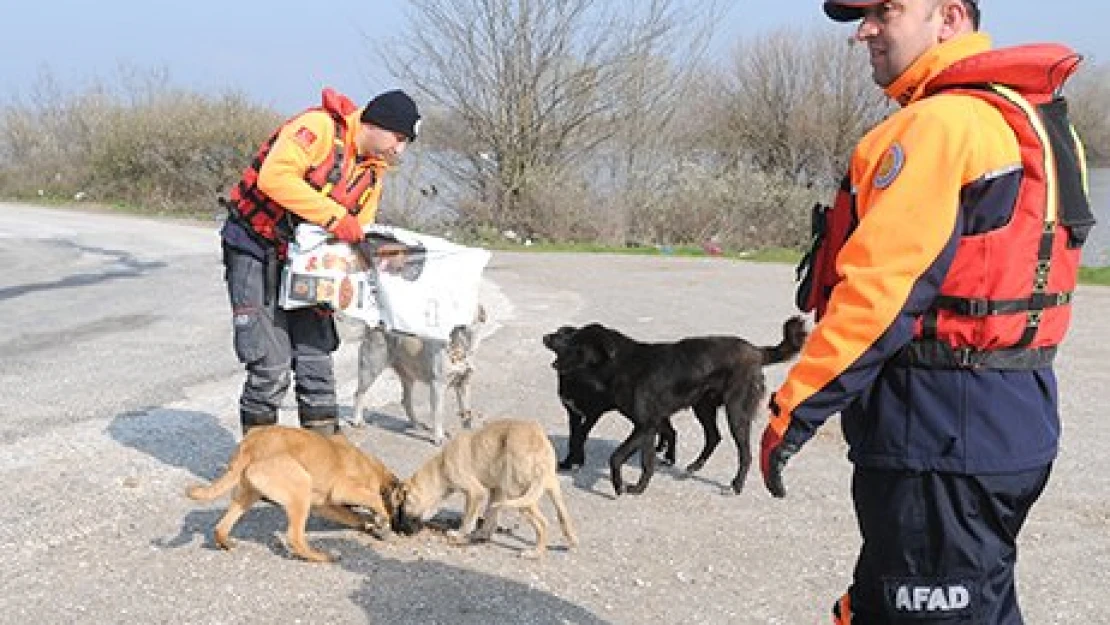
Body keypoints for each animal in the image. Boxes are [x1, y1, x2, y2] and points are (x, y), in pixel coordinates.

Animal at [186, 428, 404, 563]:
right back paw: (322, 557)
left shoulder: (324, 505)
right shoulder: (344, 489)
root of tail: (251, 444)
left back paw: (226, 543)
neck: (373, 468)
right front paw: (382, 520)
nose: (401, 528)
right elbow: (375, 500)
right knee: (294, 537)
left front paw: (370, 524)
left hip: (248, 495)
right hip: (301, 486)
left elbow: (353, 515)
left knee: (221, 526)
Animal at [346, 306, 486, 444]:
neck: (458, 351)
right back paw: (357, 421)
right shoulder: (437, 386)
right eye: (461, 327)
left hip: (408, 377)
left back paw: (416, 424)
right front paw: (438, 437)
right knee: (359, 394)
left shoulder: (463, 384)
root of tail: (374, 327)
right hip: (371, 371)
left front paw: (468, 429)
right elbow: (438, 413)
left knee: (406, 401)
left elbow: (466, 409)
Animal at [395, 419, 577, 557]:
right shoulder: (497, 491)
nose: (403, 527)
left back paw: (535, 553)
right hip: (550, 489)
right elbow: (491, 515)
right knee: (564, 516)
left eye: (404, 505)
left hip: (519, 495)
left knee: (543, 524)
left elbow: (468, 519)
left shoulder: (476, 493)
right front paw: (482, 534)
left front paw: (459, 534)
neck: (440, 466)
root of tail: (538, 442)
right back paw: (572, 542)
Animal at [543, 317, 808, 499]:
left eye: (574, 343)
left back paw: (737, 485)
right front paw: (639, 488)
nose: (546, 337)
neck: (622, 363)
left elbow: (616, 457)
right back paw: (695, 466)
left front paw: (618, 486)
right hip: (704, 407)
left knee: (745, 453)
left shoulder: (645, 425)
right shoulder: (648, 427)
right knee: (714, 436)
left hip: (736, 413)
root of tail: (756, 351)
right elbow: (647, 462)